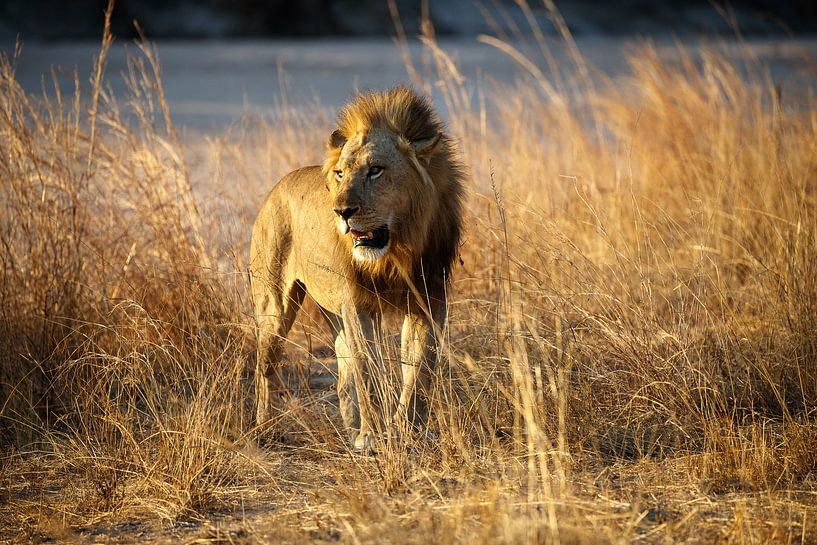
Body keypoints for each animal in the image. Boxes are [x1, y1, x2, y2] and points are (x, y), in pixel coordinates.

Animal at [249, 86, 462, 450]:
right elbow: (368, 369)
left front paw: (410, 431)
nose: (342, 212)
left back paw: (349, 428)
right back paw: (264, 429)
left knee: (342, 367)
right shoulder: (359, 305)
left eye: (375, 170)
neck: (397, 252)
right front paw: (373, 437)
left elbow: (420, 367)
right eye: (340, 174)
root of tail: (276, 188)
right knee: (265, 369)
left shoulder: (429, 300)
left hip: (331, 309)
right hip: (275, 306)